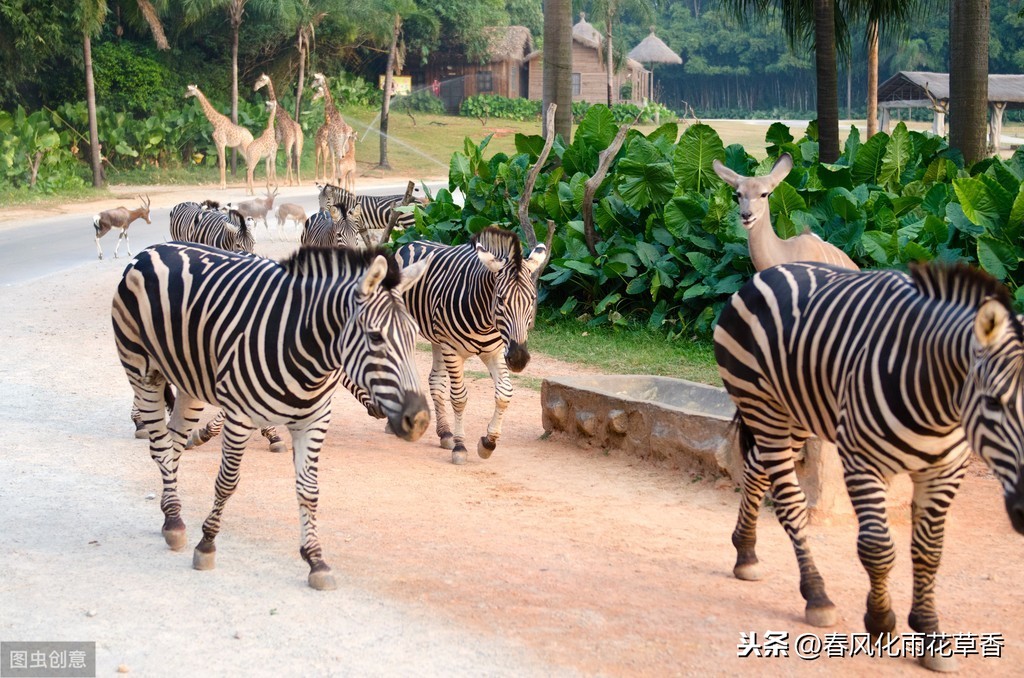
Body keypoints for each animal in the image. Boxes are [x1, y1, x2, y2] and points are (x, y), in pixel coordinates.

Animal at [113, 242, 432, 589]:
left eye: (414, 335)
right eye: (376, 337)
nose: (419, 420)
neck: (306, 349)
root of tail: (153, 248)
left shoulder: (315, 421)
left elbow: (309, 491)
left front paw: (316, 561)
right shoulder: (239, 414)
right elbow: (227, 482)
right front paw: (207, 544)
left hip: (189, 383)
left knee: (173, 444)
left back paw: (171, 514)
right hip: (143, 372)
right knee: (160, 447)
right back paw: (173, 521)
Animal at [393, 228, 552, 467]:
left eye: (532, 299)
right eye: (501, 300)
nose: (519, 359)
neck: (485, 320)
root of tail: (411, 241)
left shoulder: (495, 352)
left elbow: (504, 393)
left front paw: (488, 442)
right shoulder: (452, 350)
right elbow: (459, 398)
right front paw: (460, 447)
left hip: (437, 340)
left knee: (435, 380)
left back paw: (445, 433)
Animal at [712, 261, 1024, 675]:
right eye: (993, 402)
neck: (939, 400)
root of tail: (770, 271)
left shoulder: (946, 470)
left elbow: (930, 551)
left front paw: (930, 633)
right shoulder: (862, 462)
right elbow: (876, 548)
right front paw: (880, 622)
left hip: (794, 416)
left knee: (755, 469)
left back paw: (746, 553)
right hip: (764, 409)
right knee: (791, 503)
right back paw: (816, 594)